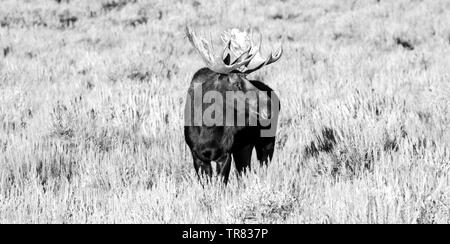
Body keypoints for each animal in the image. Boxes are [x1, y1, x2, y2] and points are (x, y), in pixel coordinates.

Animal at [183, 26, 282, 183]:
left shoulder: (225, 155)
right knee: (244, 171)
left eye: (247, 78)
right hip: (244, 147)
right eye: (236, 83)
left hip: (266, 142)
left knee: (262, 169)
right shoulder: (197, 157)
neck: (207, 130)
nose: (269, 106)